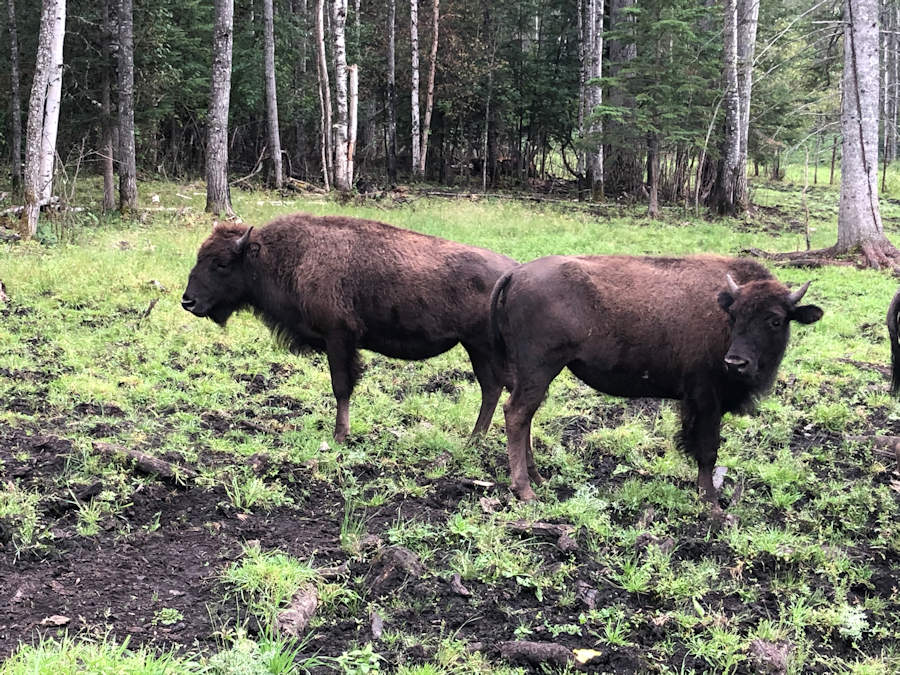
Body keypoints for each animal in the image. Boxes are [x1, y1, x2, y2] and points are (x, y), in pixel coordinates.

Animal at [182, 214, 517, 442]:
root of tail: (511, 270)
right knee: (493, 388)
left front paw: (340, 435)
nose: (188, 301)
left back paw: (477, 440)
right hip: (478, 348)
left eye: (221, 263)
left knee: (496, 387)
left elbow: (341, 386)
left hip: (481, 346)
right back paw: (476, 440)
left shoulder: (339, 338)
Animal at [490, 255, 822, 504]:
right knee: (517, 414)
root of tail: (516, 273)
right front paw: (710, 502)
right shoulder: (706, 398)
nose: (736, 362)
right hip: (540, 370)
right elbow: (708, 449)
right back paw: (525, 490)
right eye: (735, 316)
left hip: (535, 374)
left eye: (775, 320)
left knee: (524, 416)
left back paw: (538, 478)